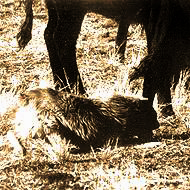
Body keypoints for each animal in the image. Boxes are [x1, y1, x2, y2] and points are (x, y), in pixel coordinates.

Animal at [17, 0, 151, 93]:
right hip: (72, 13)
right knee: (64, 42)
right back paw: (81, 92)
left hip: (56, 11)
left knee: (49, 34)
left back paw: (62, 87)